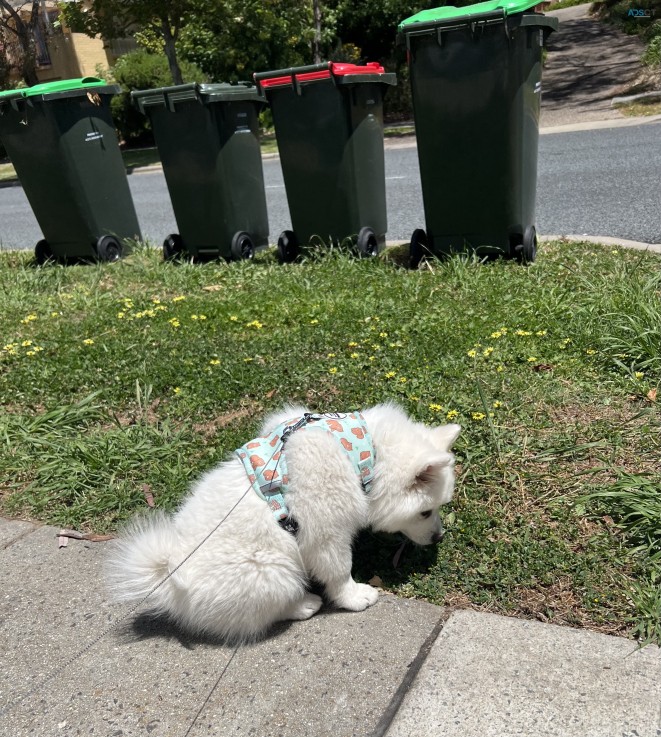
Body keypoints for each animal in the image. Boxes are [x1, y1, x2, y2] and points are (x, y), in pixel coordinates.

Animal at [107, 402, 458, 644]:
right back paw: (303, 605)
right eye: (425, 512)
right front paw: (355, 597)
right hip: (275, 568)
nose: (439, 538)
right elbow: (339, 571)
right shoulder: (325, 532)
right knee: (261, 615)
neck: (360, 452)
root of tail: (168, 579)